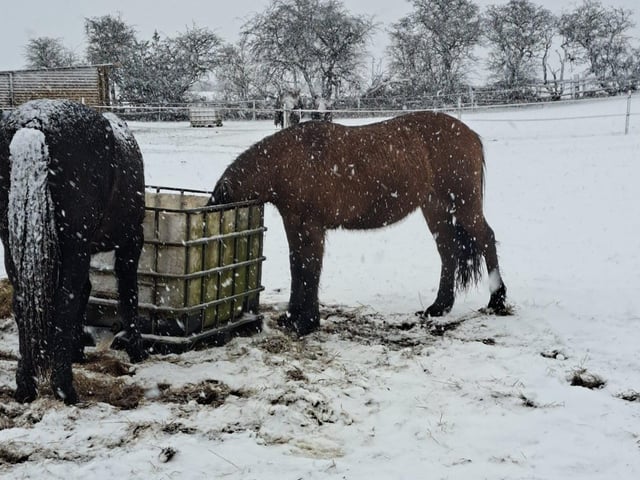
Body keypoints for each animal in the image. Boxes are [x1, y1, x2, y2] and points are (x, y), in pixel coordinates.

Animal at [0, 99, 147, 404]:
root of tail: (33, 123)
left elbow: (86, 292)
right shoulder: (131, 241)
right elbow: (128, 291)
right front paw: (135, 347)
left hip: (13, 243)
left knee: (23, 303)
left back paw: (25, 387)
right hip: (76, 246)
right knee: (64, 302)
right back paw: (65, 388)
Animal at [208, 111, 509, 336]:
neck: (290, 162)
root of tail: (470, 135)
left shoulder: (311, 227)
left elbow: (309, 269)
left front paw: (305, 323)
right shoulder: (295, 225)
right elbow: (298, 268)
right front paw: (293, 318)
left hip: (463, 205)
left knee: (486, 239)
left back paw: (497, 300)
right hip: (436, 209)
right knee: (448, 251)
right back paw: (439, 307)